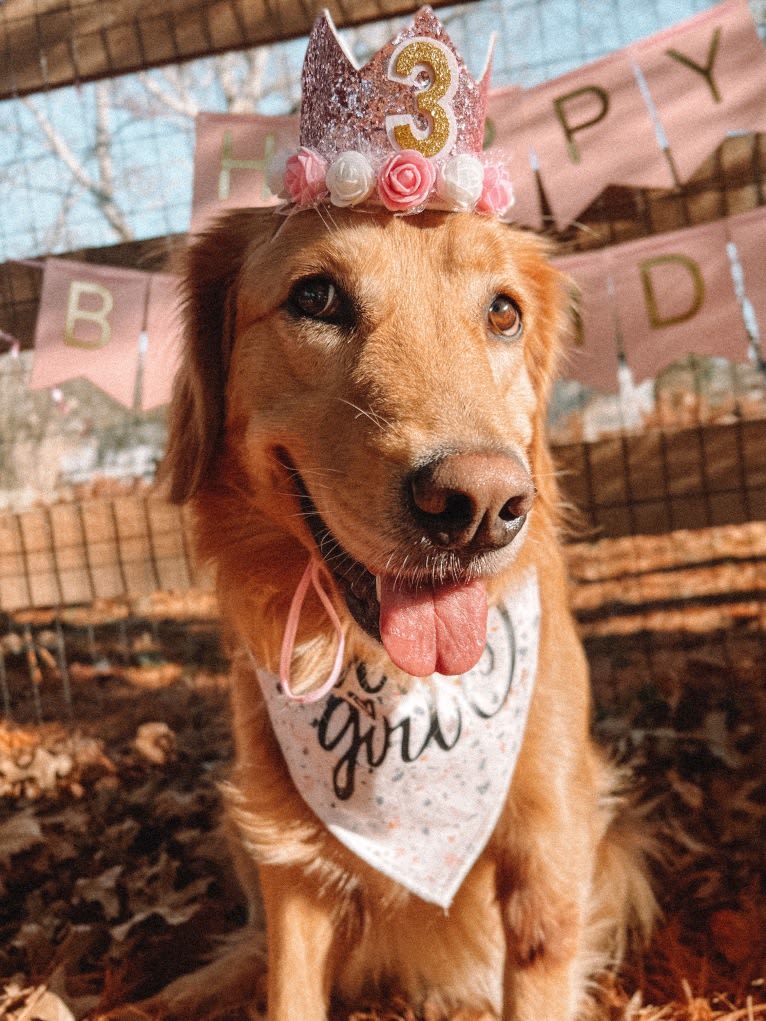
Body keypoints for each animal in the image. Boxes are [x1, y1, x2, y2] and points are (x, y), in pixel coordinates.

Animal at [147, 201, 657, 1021]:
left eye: (504, 312)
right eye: (316, 296)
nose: (479, 506)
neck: (393, 682)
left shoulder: (547, 846)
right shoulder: (291, 850)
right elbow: (288, 984)